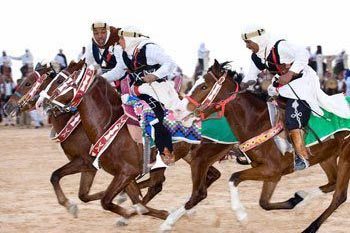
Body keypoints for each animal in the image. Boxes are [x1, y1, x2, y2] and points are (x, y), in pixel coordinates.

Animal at [41, 62, 221, 223]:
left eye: (59, 80)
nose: (43, 101)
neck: (108, 125)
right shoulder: (121, 173)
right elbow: (133, 200)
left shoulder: (123, 171)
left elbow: (107, 201)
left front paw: (128, 213)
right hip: (189, 157)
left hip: (197, 158)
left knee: (192, 189)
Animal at [164, 60, 344, 233]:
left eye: (203, 86)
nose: (178, 111)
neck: (257, 122)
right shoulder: (272, 173)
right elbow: (264, 203)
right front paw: (296, 200)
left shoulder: (270, 169)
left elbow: (234, 177)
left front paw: (241, 214)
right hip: (327, 156)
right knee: (332, 183)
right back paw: (303, 200)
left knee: (339, 196)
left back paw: (310, 225)